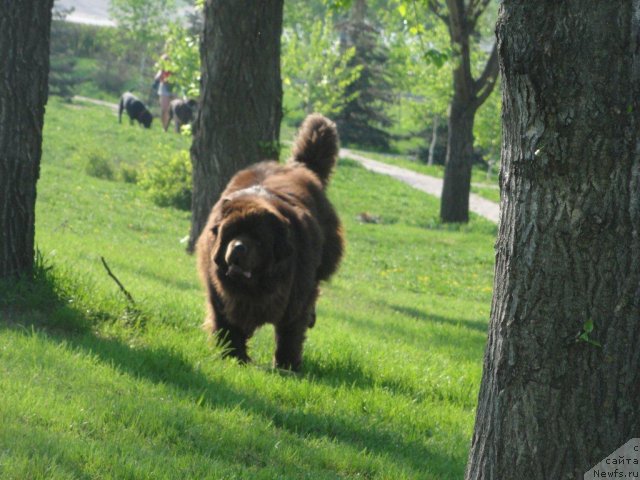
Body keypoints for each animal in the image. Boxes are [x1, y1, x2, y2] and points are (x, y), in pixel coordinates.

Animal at [196, 113, 342, 372]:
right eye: (231, 233)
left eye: (258, 239)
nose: (238, 247)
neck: (255, 286)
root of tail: (299, 167)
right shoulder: (220, 294)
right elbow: (227, 326)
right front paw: (235, 357)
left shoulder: (295, 295)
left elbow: (290, 331)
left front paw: (286, 365)